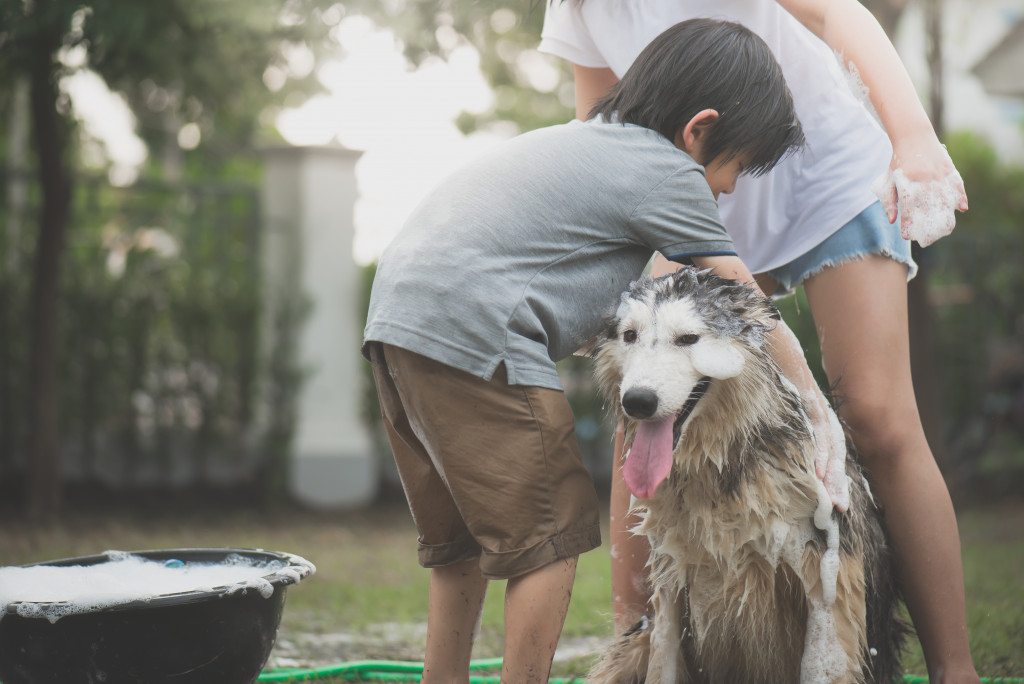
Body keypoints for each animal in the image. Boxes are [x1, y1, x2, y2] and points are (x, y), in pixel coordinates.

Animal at [589, 270, 909, 684]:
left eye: (688, 339)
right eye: (630, 335)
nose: (637, 401)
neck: (720, 473)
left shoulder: (828, 580)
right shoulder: (670, 581)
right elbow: (664, 666)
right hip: (635, 644)